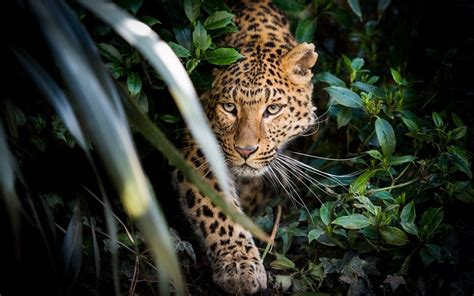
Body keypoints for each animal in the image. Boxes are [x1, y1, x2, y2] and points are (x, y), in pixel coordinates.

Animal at [177, 0, 318, 292]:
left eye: (272, 109)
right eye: (229, 108)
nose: (245, 151)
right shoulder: (198, 147)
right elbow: (217, 208)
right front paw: (240, 267)